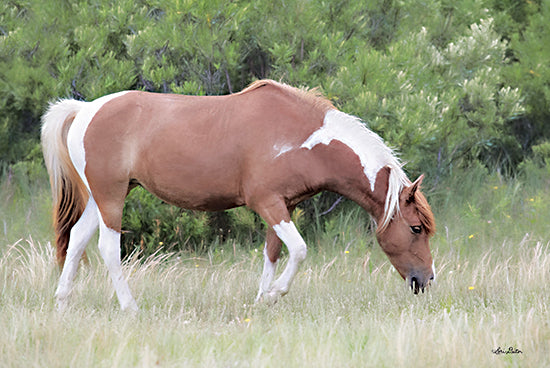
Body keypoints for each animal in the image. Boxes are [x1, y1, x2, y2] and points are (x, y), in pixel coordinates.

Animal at [42, 80, 436, 310]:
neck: (300, 137)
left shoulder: (282, 205)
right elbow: (299, 250)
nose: (426, 280)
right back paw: (129, 308)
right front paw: (275, 294)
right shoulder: (268, 204)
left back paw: (62, 302)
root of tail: (85, 109)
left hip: (102, 197)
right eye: (416, 228)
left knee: (76, 239)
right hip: (111, 197)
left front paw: (262, 300)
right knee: (108, 248)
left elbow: (273, 254)